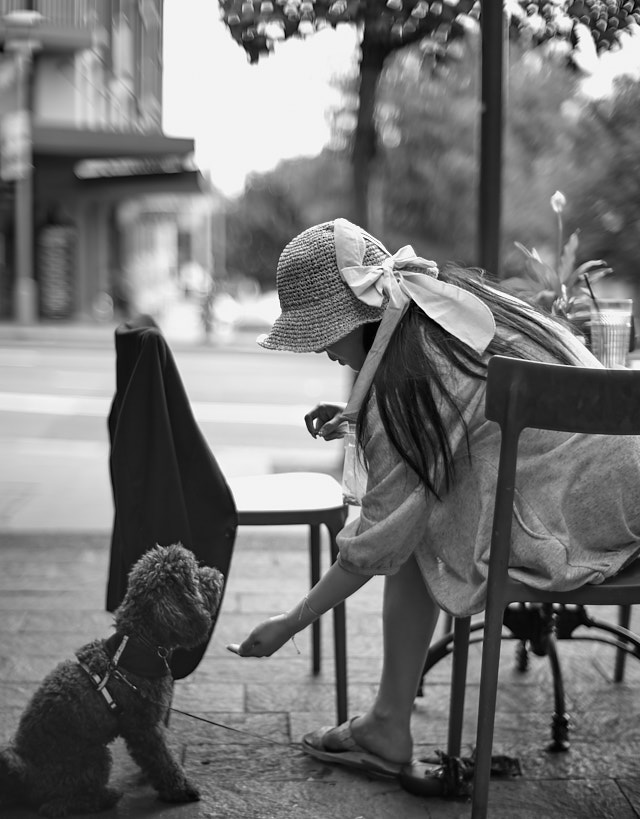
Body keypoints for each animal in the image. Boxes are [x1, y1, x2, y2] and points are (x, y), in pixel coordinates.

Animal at [0, 540, 225, 816]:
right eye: (194, 577)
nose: (218, 574)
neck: (138, 643)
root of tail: (23, 773)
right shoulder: (144, 727)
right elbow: (163, 761)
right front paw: (180, 790)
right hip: (93, 757)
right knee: (55, 805)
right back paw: (105, 797)